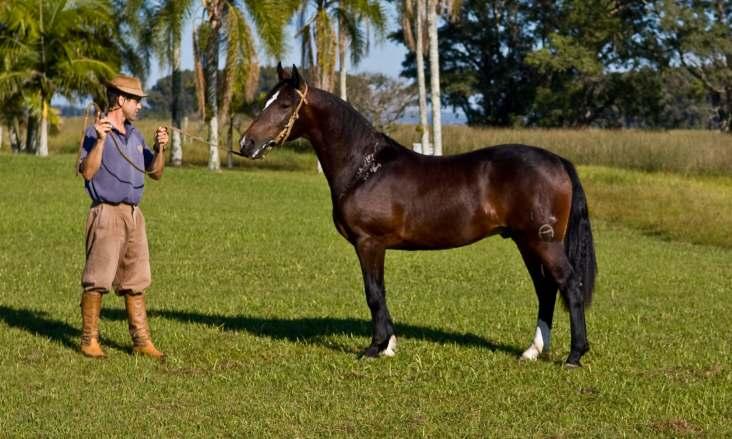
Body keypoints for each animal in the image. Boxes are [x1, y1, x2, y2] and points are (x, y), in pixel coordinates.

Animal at [237, 64, 596, 368]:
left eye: (284, 105)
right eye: (267, 101)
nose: (246, 143)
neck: (365, 168)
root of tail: (557, 160)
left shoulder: (369, 243)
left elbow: (374, 293)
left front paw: (374, 348)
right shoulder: (375, 246)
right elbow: (380, 292)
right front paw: (389, 346)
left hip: (542, 242)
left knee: (569, 285)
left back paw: (574, 356)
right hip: (525, 242)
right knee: (546, 289)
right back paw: (532, 351)